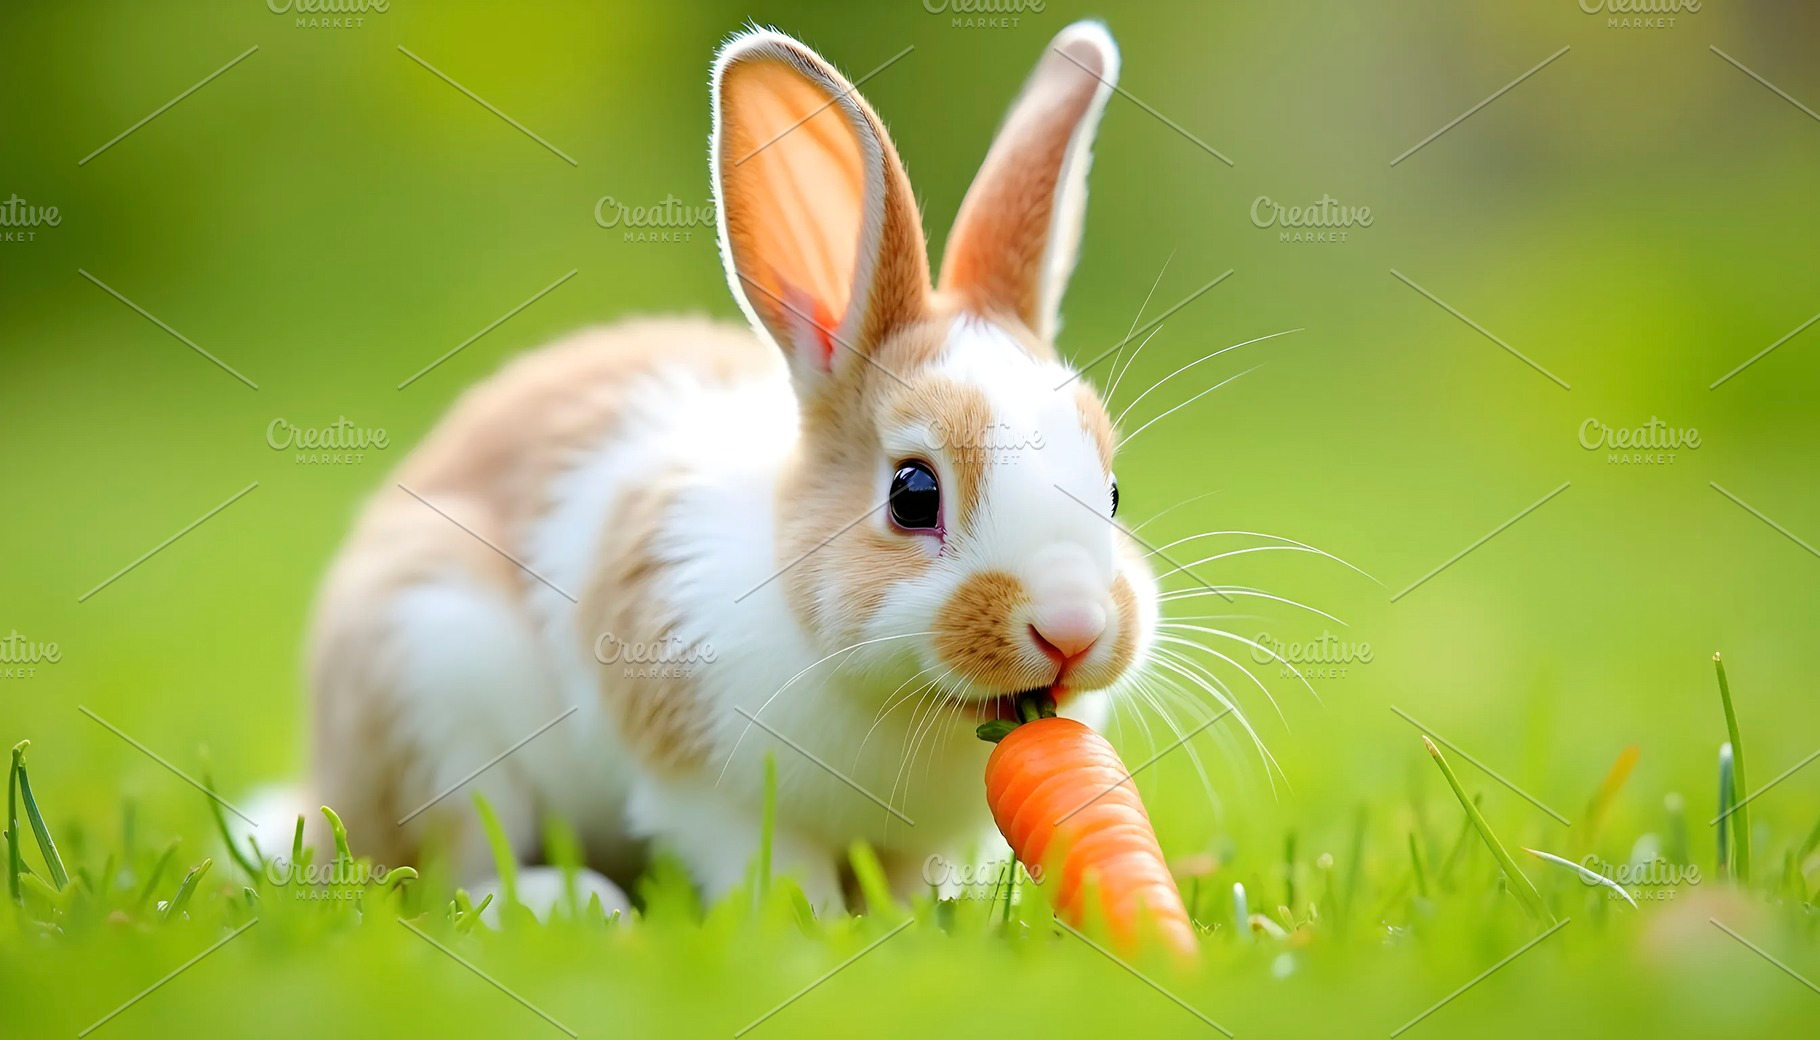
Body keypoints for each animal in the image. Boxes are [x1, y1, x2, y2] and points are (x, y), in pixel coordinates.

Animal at [303, 19, 1156, 915]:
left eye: (1112, 491)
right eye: (913, 494)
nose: (1073, 628)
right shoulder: (704, 785)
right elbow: (771, 864)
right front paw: (810, 924)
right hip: (429, 692)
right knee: (448, 870)